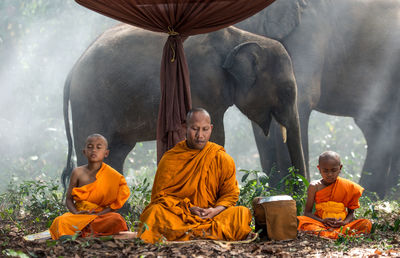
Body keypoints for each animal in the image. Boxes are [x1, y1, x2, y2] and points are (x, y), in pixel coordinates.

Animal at [61, 24, 306, 187]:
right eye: (286, 91)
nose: (299, 194)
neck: (237, 38)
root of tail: (73, 68)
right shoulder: (200, 81)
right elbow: (214, 135)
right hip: (89, 102)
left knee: (117, 152)